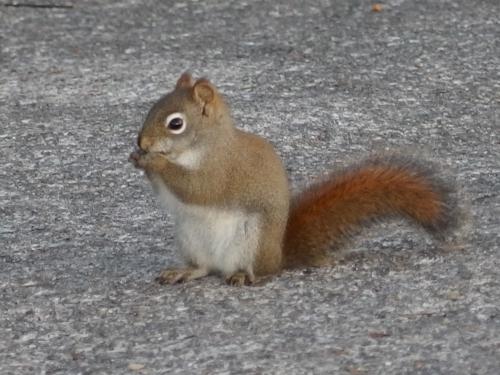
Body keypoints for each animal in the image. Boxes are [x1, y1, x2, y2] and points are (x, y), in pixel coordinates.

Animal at [130, 72, 458, 286]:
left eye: (176, 124)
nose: (142, 142)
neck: (202, 147)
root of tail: (279, 255)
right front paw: (138, 158)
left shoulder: (223, 170)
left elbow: (198, 188)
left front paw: (154, 161)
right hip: (189, 239)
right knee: (205, 268)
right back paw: (184, 272)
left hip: (252, 240)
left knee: (261, 272)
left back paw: (244, 275)